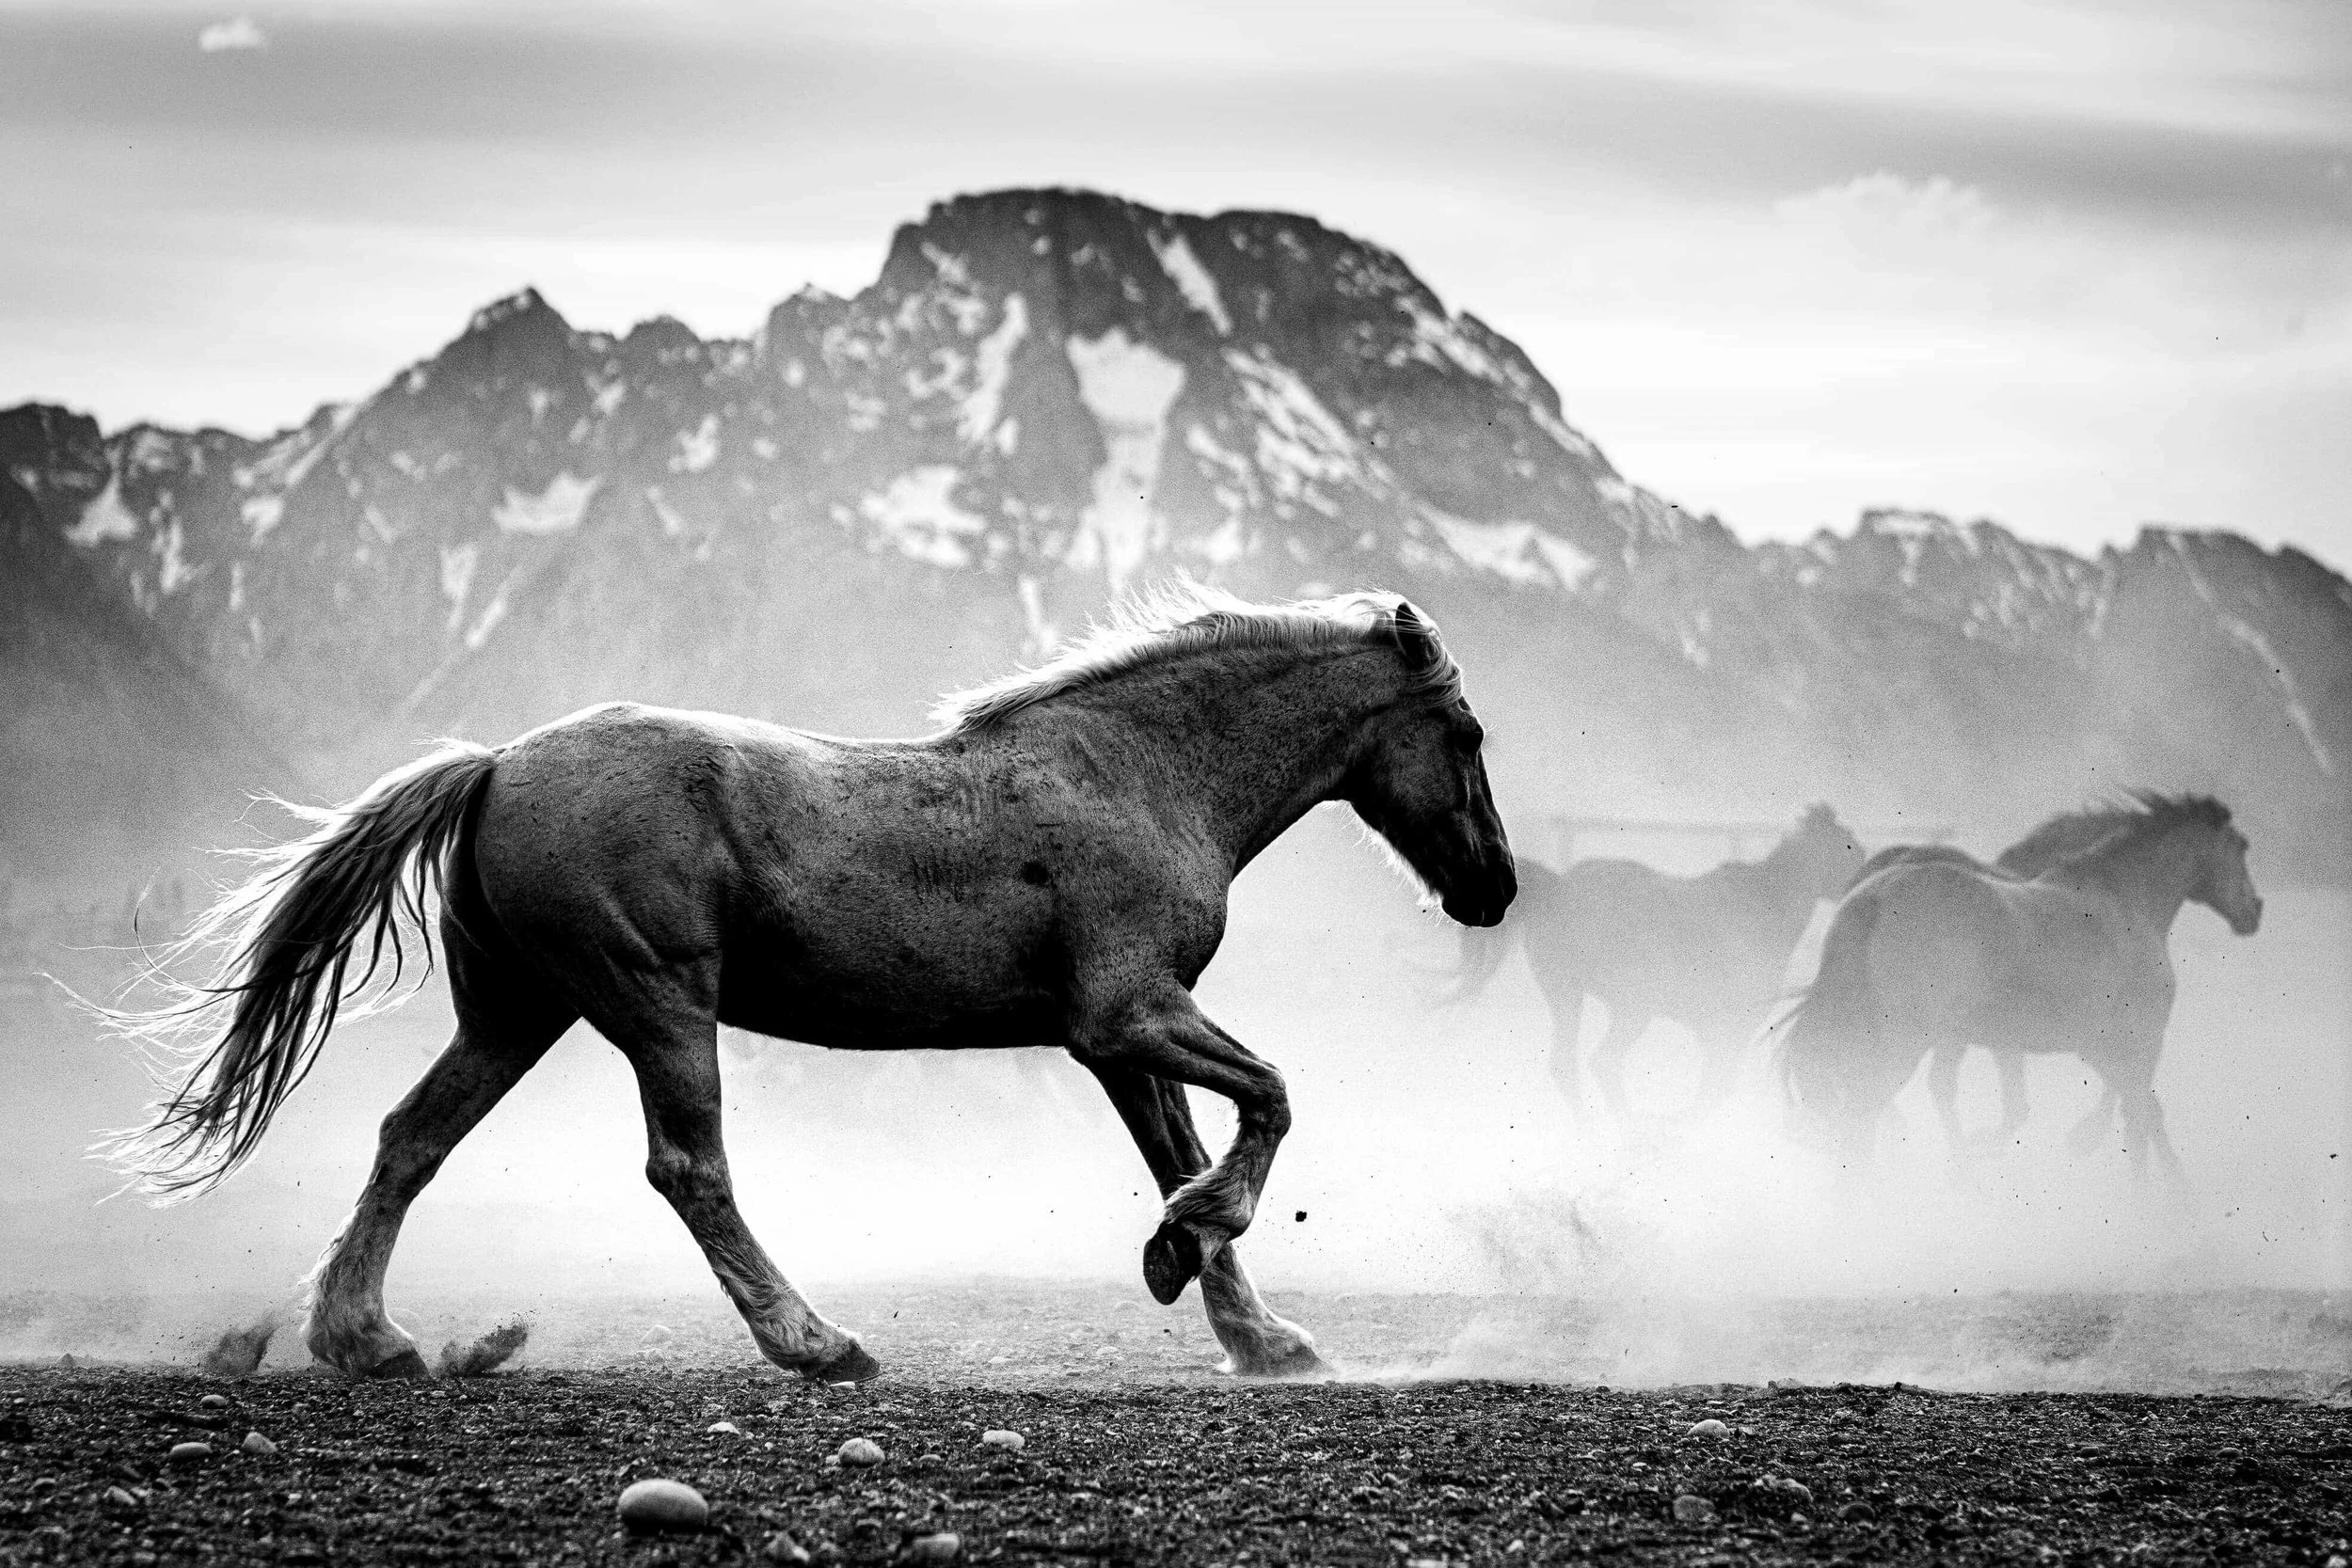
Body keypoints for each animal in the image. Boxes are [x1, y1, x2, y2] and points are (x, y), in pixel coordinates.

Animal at [98, 586, 1516, 1382]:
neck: (1140, 772)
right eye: (1466, 730)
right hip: (653, 1001)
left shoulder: (1116, 1038)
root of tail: (496, 763)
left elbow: (1183, 1147)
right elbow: (1270, 1098)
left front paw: (1244, 1319)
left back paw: (365, 1337)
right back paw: (817, 1342)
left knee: (411, 1138)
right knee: (689, 1169)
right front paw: (1197, 1248)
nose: (1493, 887)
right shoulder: (1129, 1011)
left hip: (518, 1010)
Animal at [1448, 804, 1865, 1129]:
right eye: (1848, 847)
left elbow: (1713, 1088)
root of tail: (1560, 888)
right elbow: (1715, 1088)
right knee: (1603, 1062)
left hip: (1568, 995)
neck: (1763, 910)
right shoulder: (1730, 1026)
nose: (1863, 882)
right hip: (1631, 1008)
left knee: (1568, 1064)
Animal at [1780, 792, 2260, 1180]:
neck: (2124, 902)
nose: (2255, 911)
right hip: (1906, 1040)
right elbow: (2140, 1115)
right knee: (1865, 1109)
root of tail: (1873, 897)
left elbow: (2139, 1110)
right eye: (2240, 847)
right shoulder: (2135, 1039)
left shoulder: (2097, 1045)